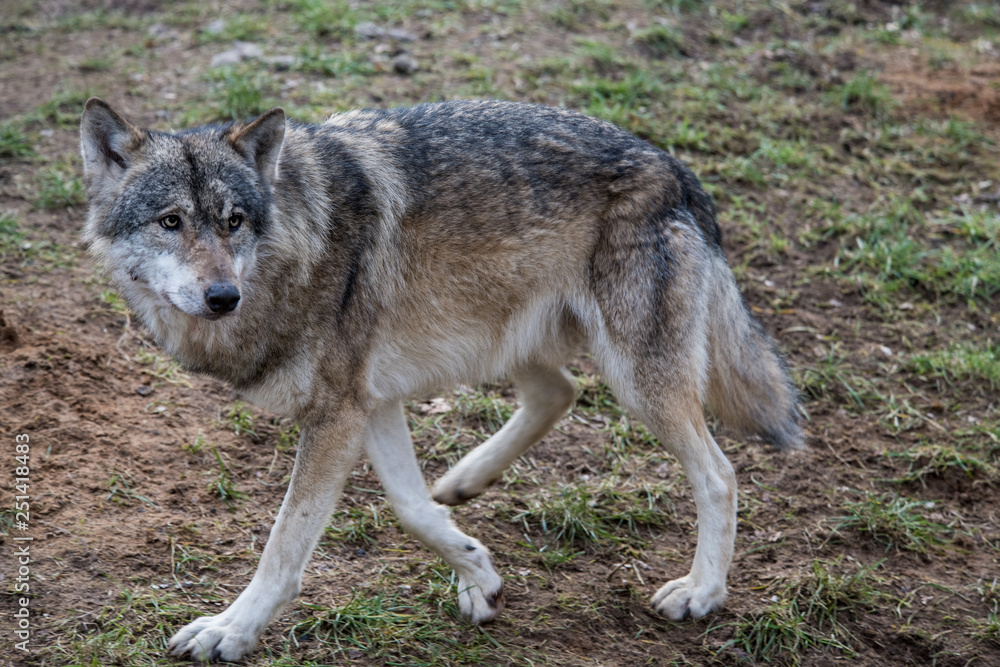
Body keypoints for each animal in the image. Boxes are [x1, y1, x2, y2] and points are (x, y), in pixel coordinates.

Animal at [80, 99, 804, 664]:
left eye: (233, 221)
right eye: (170, 221)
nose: (223, 296)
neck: (298, 244)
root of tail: (676, 169)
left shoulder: (339, 414)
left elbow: (284, 547)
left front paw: (230, 631)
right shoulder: (368, 405)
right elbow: (411, 508)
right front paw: (478, 573)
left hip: (635, 378)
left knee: (718, 473)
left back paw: (701, 592)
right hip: (509, 339)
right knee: (559, 392)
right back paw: (465, 478)